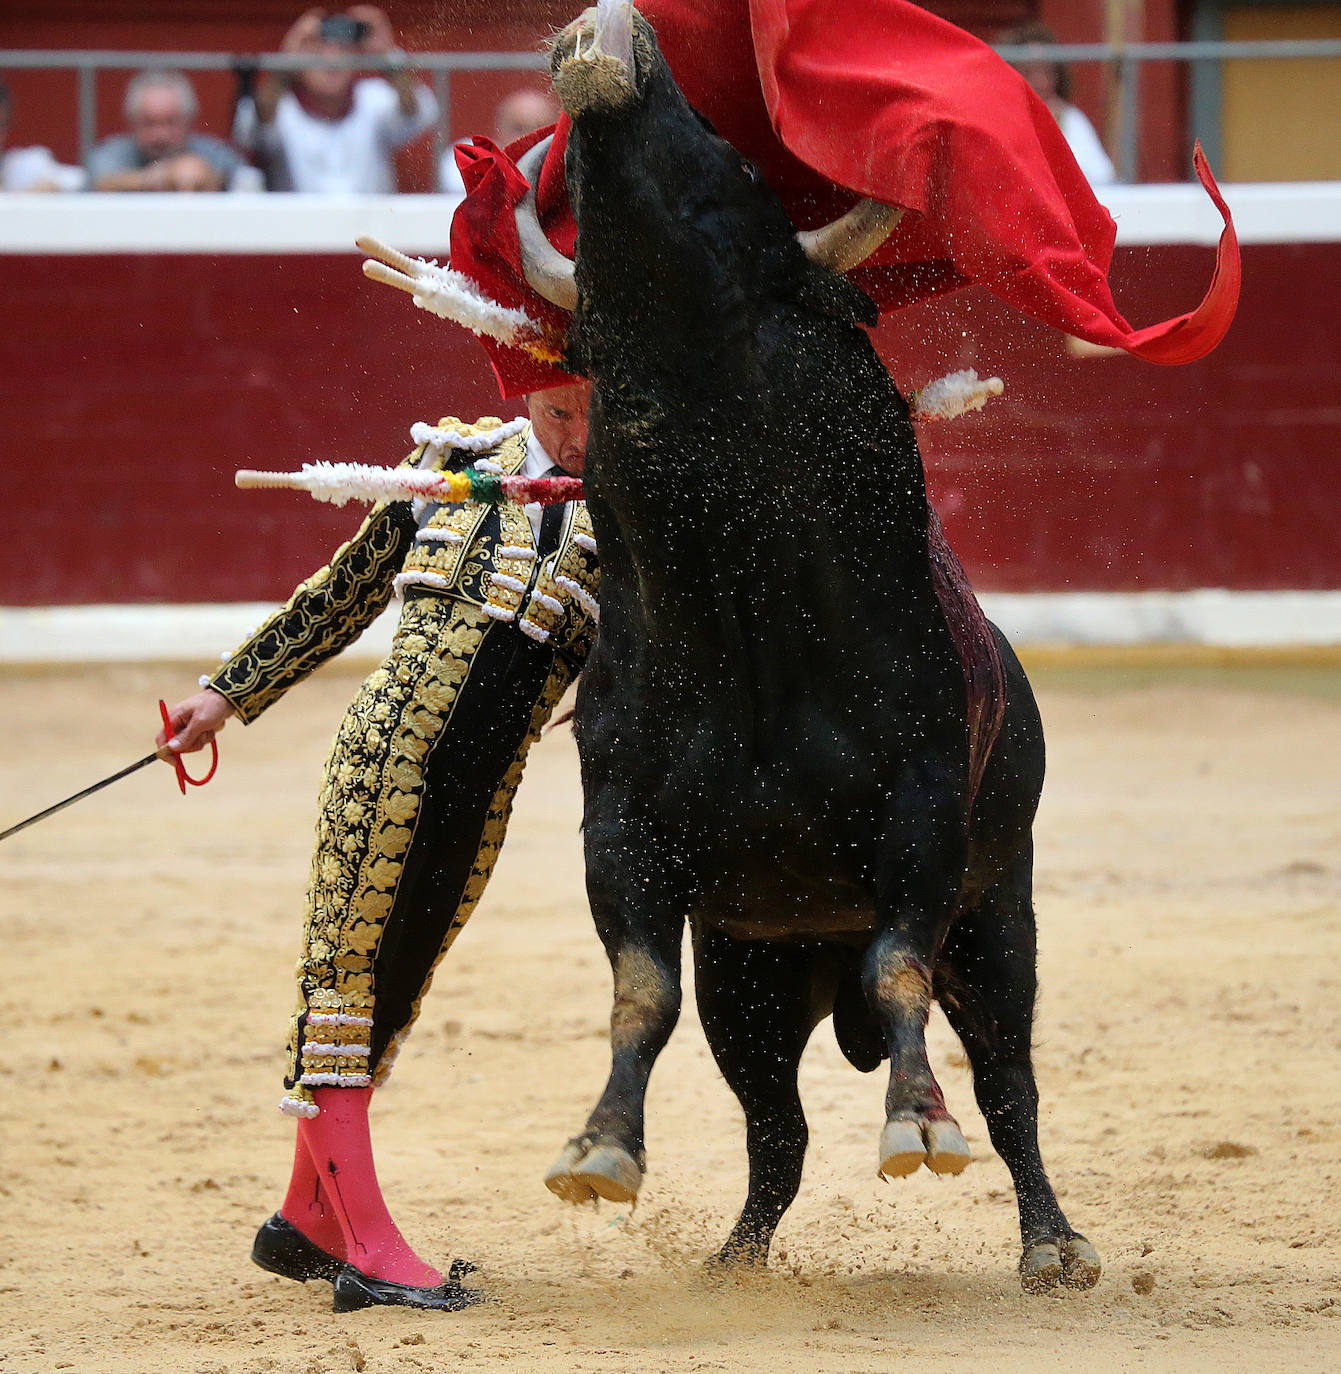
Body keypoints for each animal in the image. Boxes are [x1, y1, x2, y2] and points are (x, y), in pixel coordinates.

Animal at [533, 2, 1099, 1286]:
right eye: (586, 246)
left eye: (738, 172)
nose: (604, 34)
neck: (747, 621)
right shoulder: (621, 826)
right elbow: (639, 988)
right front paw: (598, 1150)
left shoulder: (924, 813)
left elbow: (900, 968)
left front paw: (919, 1126)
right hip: (751, 982)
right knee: (774, 1128)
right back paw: (735, 1261)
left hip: (1002, 925)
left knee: (1011, 1086)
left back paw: (1052, 1243)